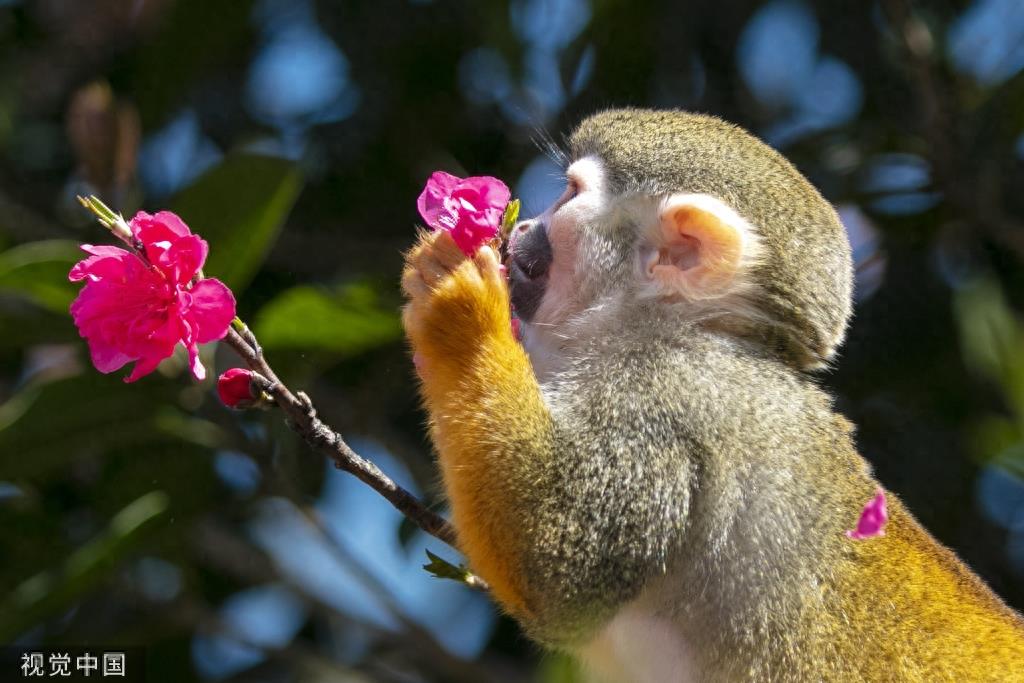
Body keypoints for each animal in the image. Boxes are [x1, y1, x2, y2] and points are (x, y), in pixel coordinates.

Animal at [399, 109, 1024, 679]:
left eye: (569, 195)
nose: (525, 226)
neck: (673, 328)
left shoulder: (664, 394)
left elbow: (553, 563)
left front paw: (460, 308)